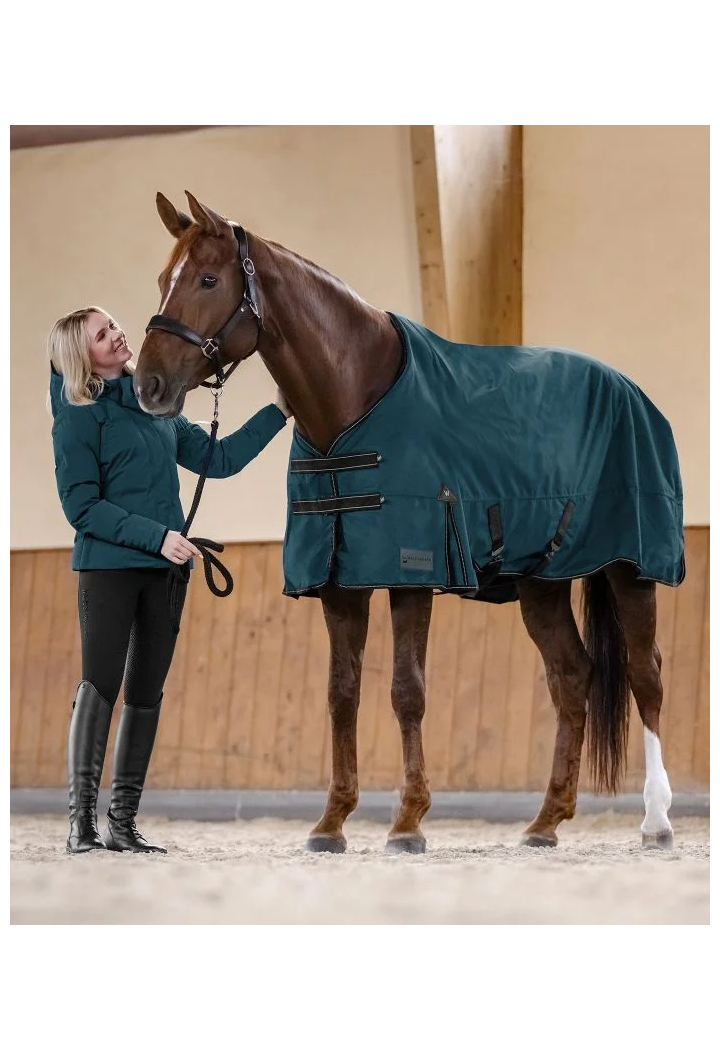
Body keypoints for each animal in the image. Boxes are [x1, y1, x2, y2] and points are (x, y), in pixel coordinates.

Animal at [133, 190, 681, 854]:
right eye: (163, 279)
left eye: (208, 279)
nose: (148, 385)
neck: (355, 396)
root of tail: (630, 392)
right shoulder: (338, 582)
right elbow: (342, 692)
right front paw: (332, 821)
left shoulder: (411, 573)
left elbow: (406, 691)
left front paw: (408, 822)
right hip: (541, 583)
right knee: (572, 677)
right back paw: (546, 821)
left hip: (632, 568)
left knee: (644, 673)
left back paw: (656, 822)